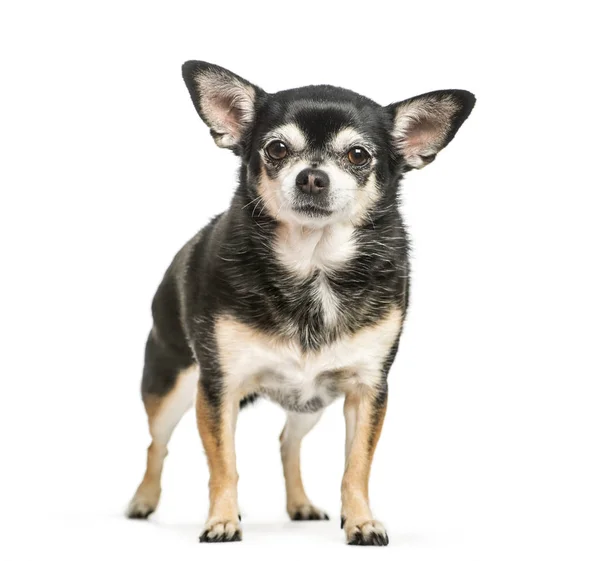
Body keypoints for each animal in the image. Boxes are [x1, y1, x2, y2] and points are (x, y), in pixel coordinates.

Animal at [125, 60, 474, 544]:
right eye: (276, 149)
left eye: (358, 155)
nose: (311, 176)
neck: (313, 267)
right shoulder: (218, 387)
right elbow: (223, 463)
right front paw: (222, 520)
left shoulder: (367, 390)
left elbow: (356, 466)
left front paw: (361, 520)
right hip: (171, 386)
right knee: (156, 444)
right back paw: (144, 500)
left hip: (311, 401)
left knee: (287, 442)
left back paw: (300, 504)